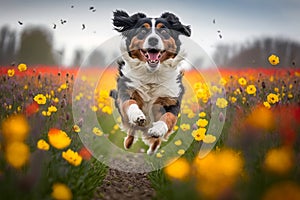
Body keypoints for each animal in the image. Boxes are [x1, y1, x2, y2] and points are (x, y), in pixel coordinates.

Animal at [109, 9, 191, 155]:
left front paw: (158, 129)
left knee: (155, 140)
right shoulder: (126, 90)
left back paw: (152, 149)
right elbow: (129, 103)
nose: (153, 39)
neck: (152, 75)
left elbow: (169, 116)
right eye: (142, 31)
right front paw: (137, 116)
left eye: (163, 31)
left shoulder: (172, 99)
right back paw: (128, 143)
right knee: (131, 132)